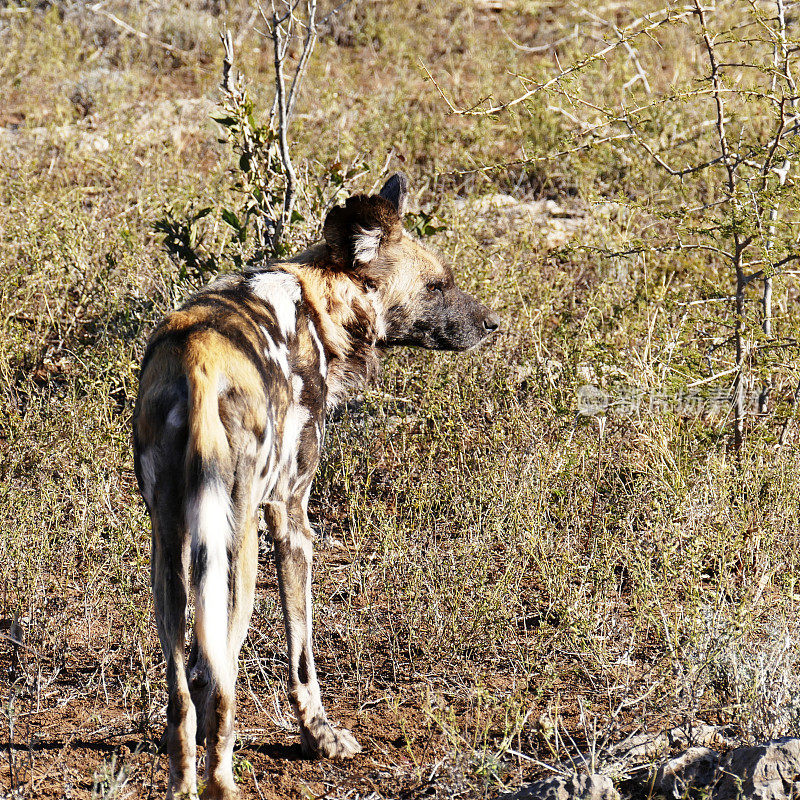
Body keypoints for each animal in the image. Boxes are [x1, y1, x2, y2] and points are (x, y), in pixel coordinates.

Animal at [135, 172, 504, 796]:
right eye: (436, 287)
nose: (493, 325)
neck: (316, 303)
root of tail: (200, 361)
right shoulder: (292, 520)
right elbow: (302, 653)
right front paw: (320, 736)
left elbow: (198, 681)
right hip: (239, 549)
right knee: (225, 677)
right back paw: (224, 781)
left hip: (172, 549)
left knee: (184, 688)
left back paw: (186, 780)